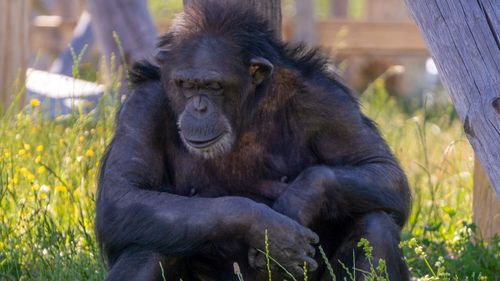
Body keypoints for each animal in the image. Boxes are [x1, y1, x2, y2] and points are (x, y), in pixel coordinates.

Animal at [95, 2, 412, 280]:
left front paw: (297, 202)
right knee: (153, 239)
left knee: (376, 222)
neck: (244, 112)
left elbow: (382, 168)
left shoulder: (326, 100)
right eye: (186, 84)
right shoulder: (142, 107)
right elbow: (123, 195)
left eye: (214, 86)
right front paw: (267, 226)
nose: (199, 107)